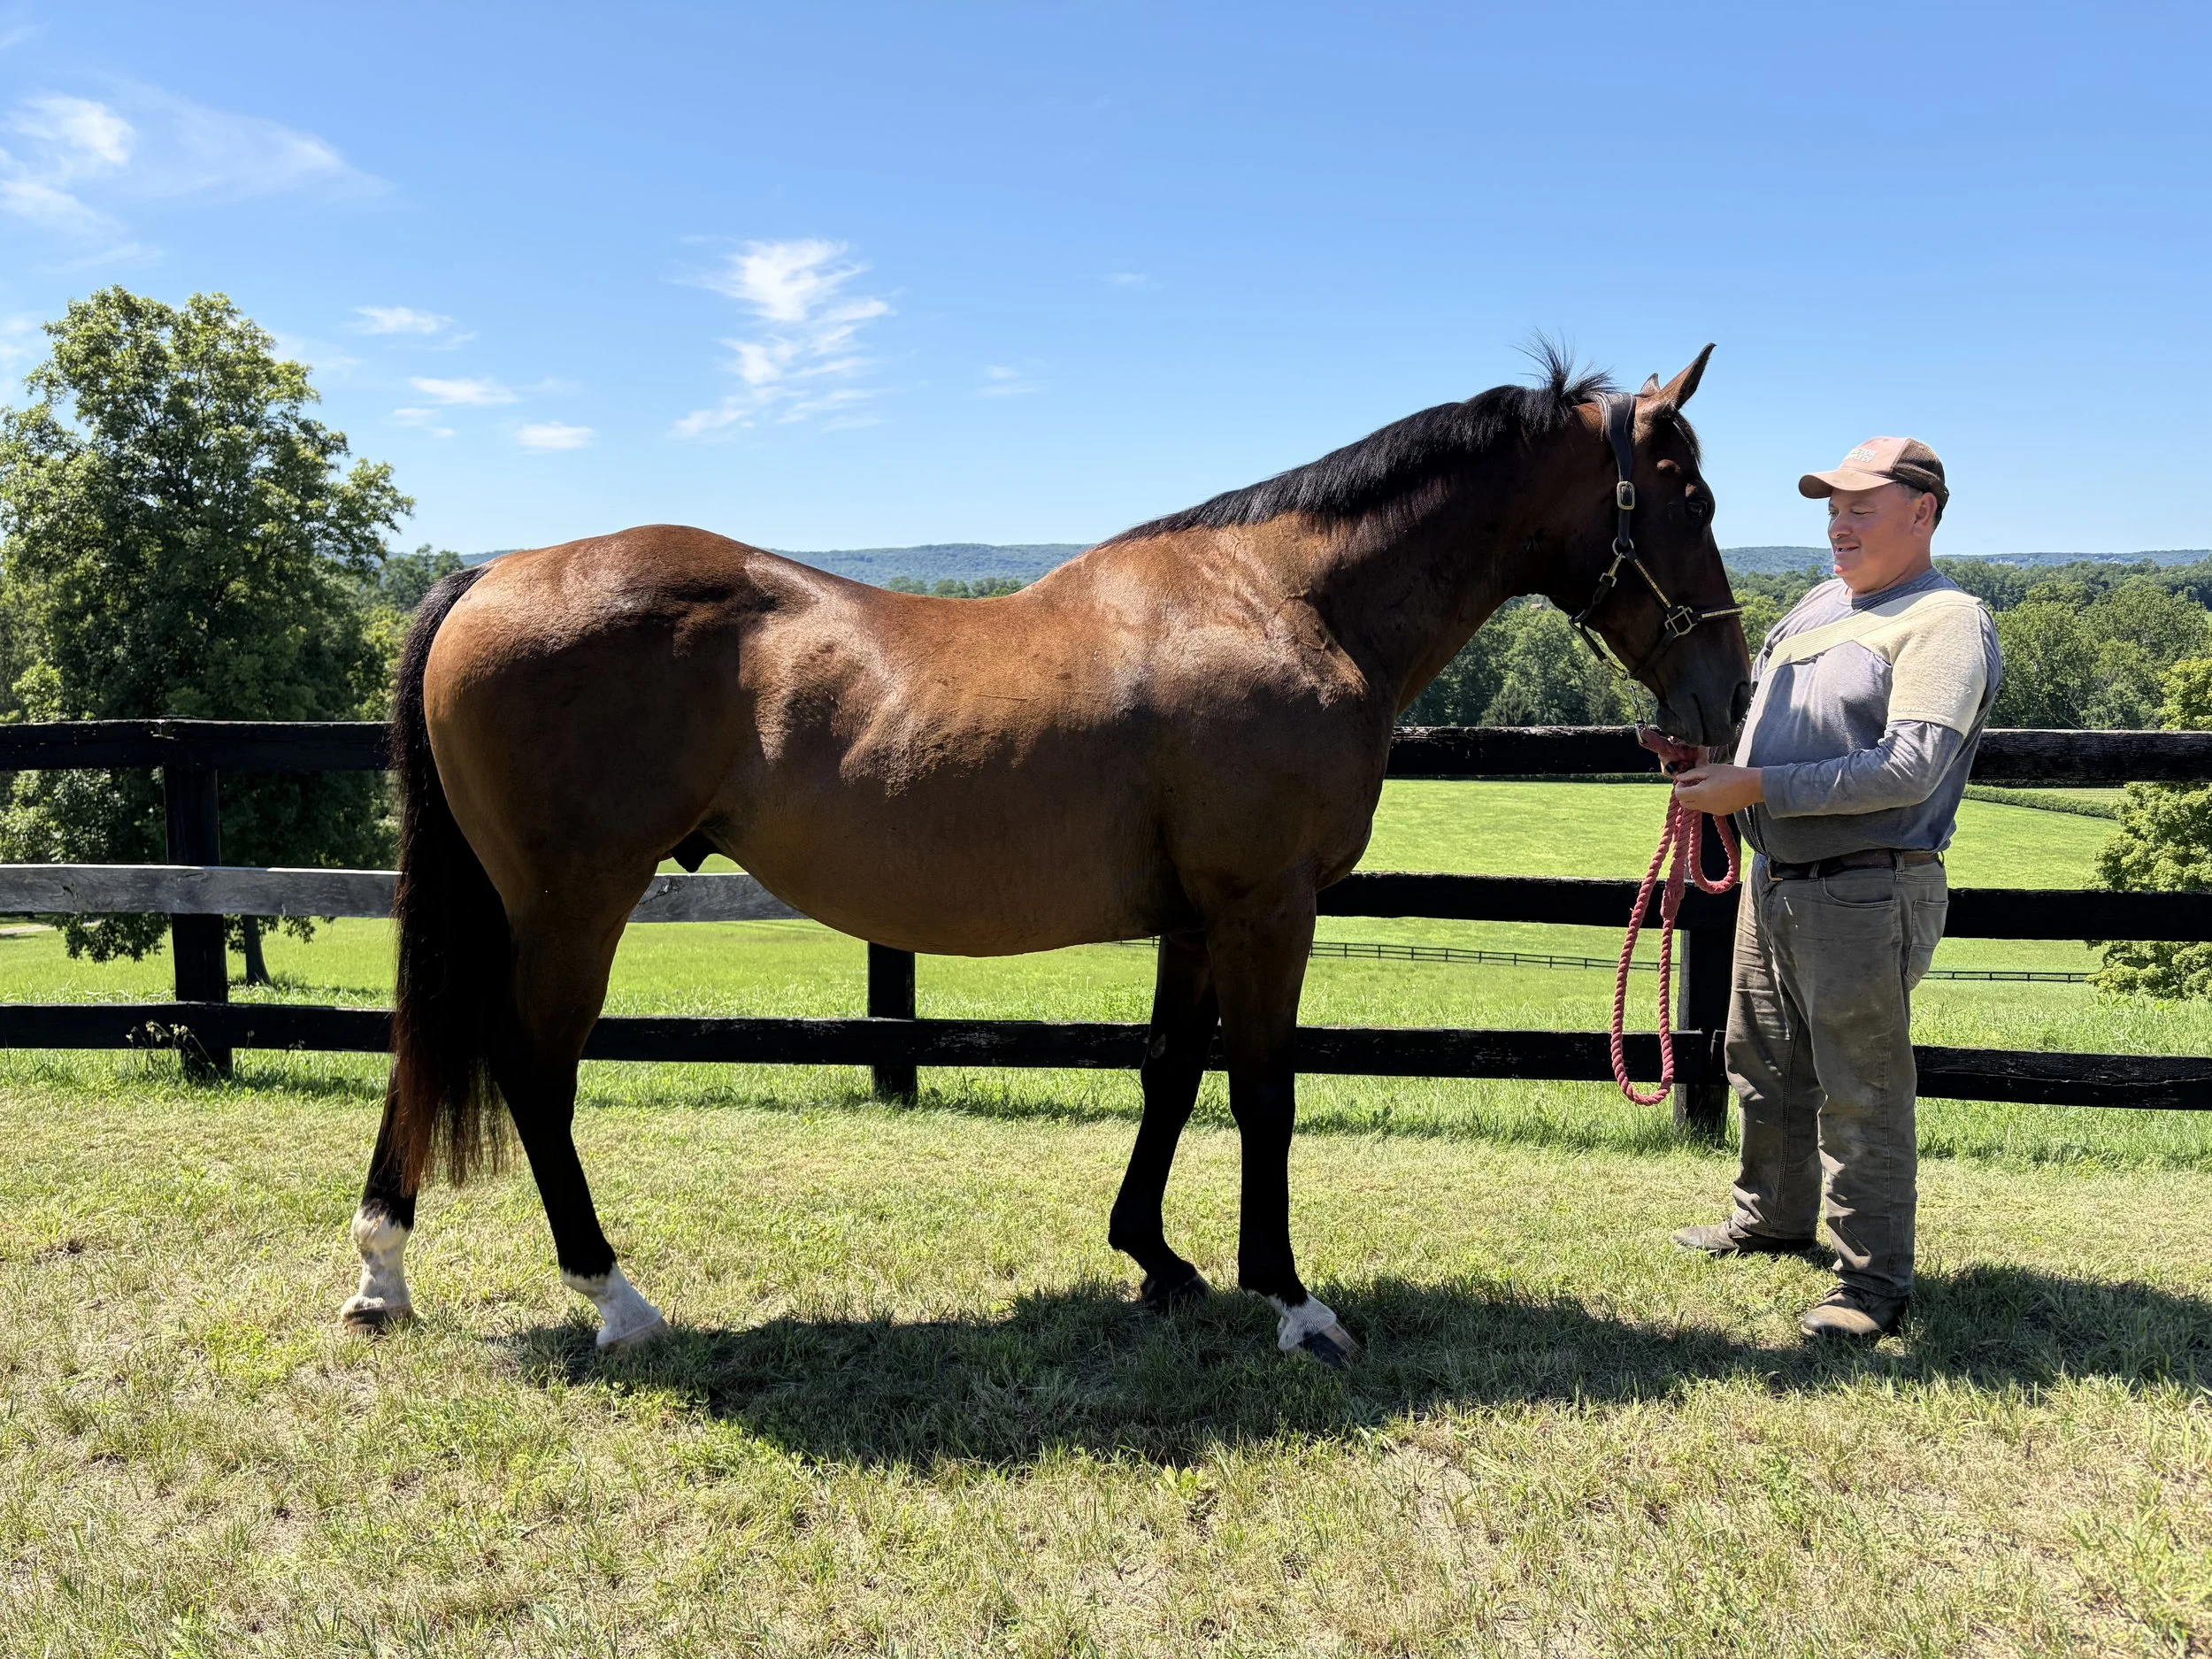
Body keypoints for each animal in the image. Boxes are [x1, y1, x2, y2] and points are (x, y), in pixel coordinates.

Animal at [338, 345, 1751, 1365]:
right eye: (1687, 497)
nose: (1727, 692)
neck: (1284, 603)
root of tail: (490, 575)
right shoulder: (1267, 907)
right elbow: (1265, 1092)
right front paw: (1293, 1301)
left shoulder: (1197, 915)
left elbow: (1170, 1073)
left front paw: (1159, 1262)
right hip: (577, 903)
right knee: (530, 1065)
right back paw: (614, 1297)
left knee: (431, 1045)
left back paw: (381, 1275)